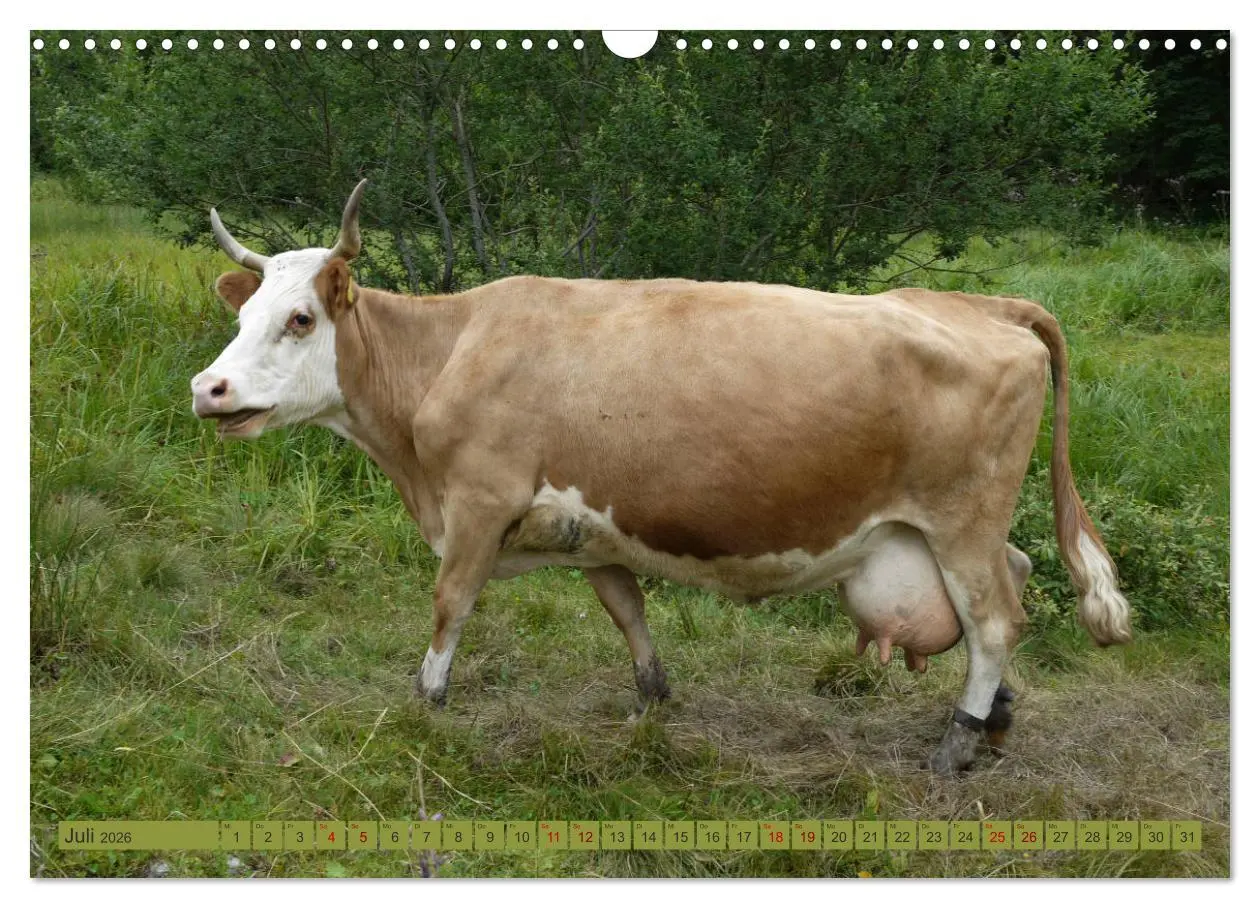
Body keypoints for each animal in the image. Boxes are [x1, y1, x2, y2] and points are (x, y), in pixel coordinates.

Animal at [191, 181, 1131, 773]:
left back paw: (958, 739)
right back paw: (997, 719)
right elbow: (626, 608)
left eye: (299, 318)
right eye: (242, 314)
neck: (450, 353)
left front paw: (427, 703)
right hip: (949, 533)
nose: (209, 388)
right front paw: (650, 704)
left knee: (996, 620)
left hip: (961, 521)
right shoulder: (594, 524)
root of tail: (983, 305)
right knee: (1012, 584)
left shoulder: (477, 506)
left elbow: (450, 605)